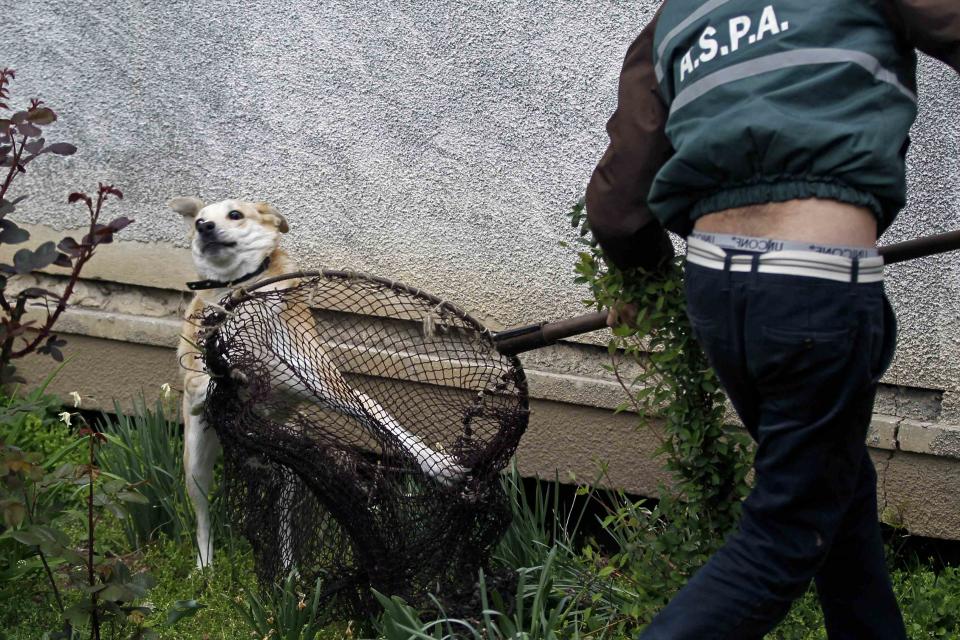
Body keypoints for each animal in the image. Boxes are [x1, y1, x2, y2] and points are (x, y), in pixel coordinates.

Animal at [176, 198, 472, 568]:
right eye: (199, 221)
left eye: (235, 215)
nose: (204, 227)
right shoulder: (199, 375)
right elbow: (209, 378)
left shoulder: (330, 385)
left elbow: (383, 418)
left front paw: (438, 463)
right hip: (195, 466)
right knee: (203, 519)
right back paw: (205, 566)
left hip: (294, 465)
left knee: (283, 522)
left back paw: (290, 570)